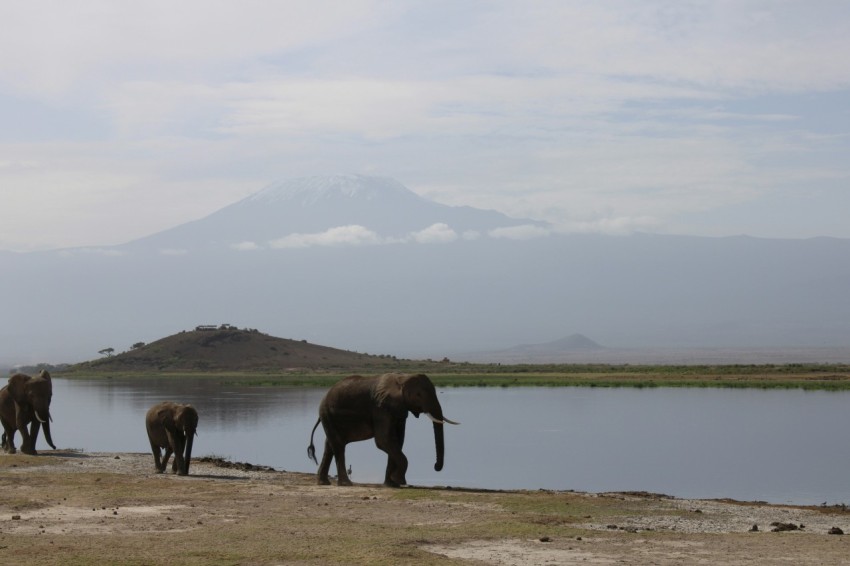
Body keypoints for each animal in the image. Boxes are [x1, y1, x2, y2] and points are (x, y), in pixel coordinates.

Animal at [306, 372, 458, 488]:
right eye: (419, 394)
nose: (435, 466)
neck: (402, 378)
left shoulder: (399, 409)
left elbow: (397, 440)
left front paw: (392, 484)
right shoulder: (380, 407)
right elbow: (383, 440)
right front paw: (399, 481)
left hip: (330, 417)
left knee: (330, 445)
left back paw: (323, 482)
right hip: (327, 413)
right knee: (338, 445)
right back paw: (346, 484)